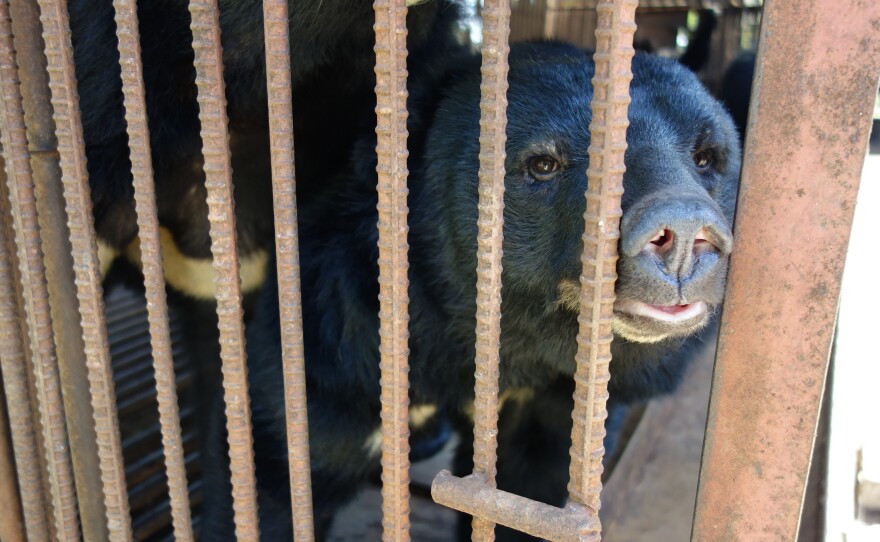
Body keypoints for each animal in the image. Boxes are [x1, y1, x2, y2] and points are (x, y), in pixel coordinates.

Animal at [200, 41, 741, 541]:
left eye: (706, 157)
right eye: (543, 164)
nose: (683, 231)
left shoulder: (549, 409)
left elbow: (527, 500)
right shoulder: (335, 350)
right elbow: (280, 474)